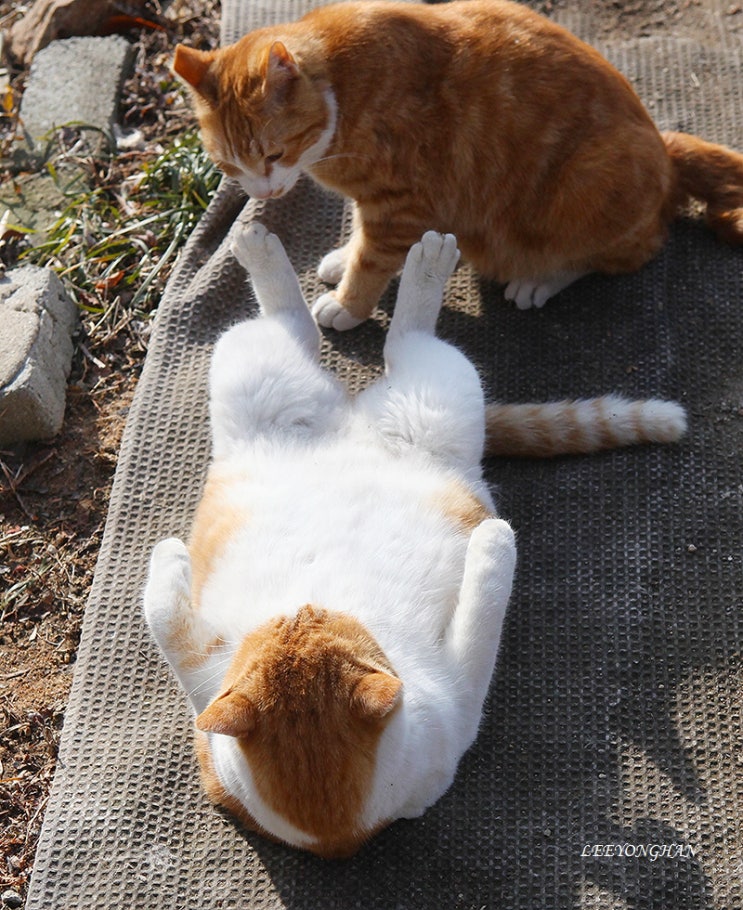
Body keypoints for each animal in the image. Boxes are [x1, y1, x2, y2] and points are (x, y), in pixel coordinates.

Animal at [144, 224, 684, 858]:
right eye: (329, 628)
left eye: (306, 625)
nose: (301, 609)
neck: (334, 835)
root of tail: (351, 416)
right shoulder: (458, 694)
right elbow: (486, 594)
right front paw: (494, 539)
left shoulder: (210, 683)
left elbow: (165, 618)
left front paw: (166, 555)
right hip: (416, 390)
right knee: (388, 335)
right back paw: (398, 259)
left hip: (263, 376)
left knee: (312, 328)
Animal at [172, 0, 743, 330]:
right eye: (229, 167)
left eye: (273, 154)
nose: (264, 196)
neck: (342, 86)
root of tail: (665, 151)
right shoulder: (378, 205)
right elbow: (361, 236)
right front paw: (343, 256)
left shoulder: (400, 204)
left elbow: (373, 261)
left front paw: (349, 304)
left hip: (588, 181)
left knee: (623, 252)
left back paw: (539, 280)